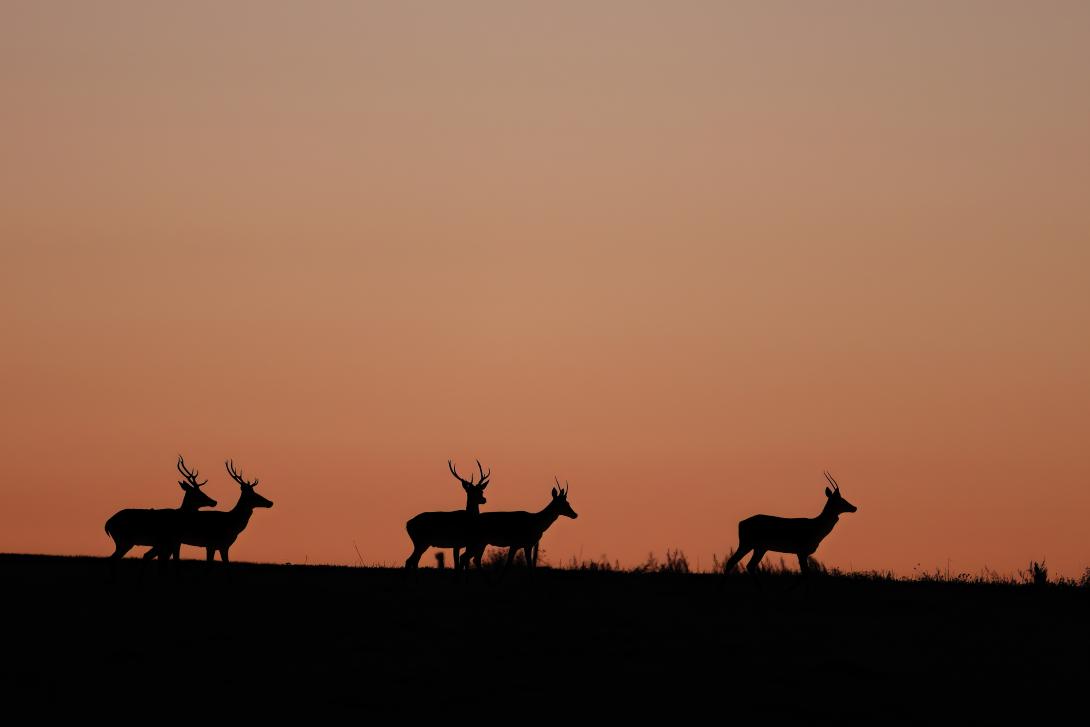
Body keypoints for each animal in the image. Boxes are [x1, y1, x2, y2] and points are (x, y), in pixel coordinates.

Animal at [723, 473, 858, 579]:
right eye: (840, 500)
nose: (854, 507)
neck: (816, 528)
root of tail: (740, 523)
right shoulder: (801, 550)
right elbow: (805, 573)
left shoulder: (801, 552)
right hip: (747, 543)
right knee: (731, 562)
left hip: (760, 547)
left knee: (749, 565)